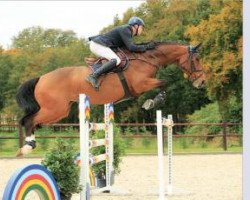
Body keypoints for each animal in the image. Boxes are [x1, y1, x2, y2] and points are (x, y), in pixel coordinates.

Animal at [16, 41, 206, 156]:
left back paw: (27, 145)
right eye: (196, 59)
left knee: (28, 120)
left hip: (60, 111)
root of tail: (41, 78)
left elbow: (163, 84)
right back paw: (27, 147)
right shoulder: (142, 84)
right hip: (56, 109)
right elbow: (164, 83)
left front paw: (152, 101)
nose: (202, 82)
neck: (146, 59)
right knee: (29, 120)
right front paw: (152, 102)